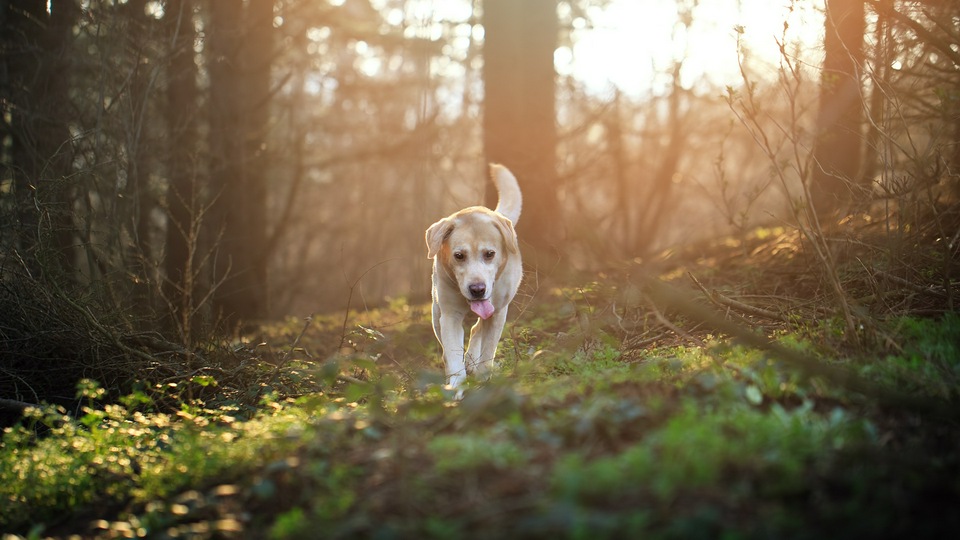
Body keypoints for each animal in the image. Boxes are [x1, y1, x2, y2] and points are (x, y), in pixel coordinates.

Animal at [424, 162, 520, 390]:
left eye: (490, 254)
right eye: (459, 255)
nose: (477, 289)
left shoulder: (498, 313)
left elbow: (488, 351)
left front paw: (483, 380)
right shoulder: (449, 315)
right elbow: (452, 354)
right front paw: (455, 388)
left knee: (477, 330)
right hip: (435, 313)